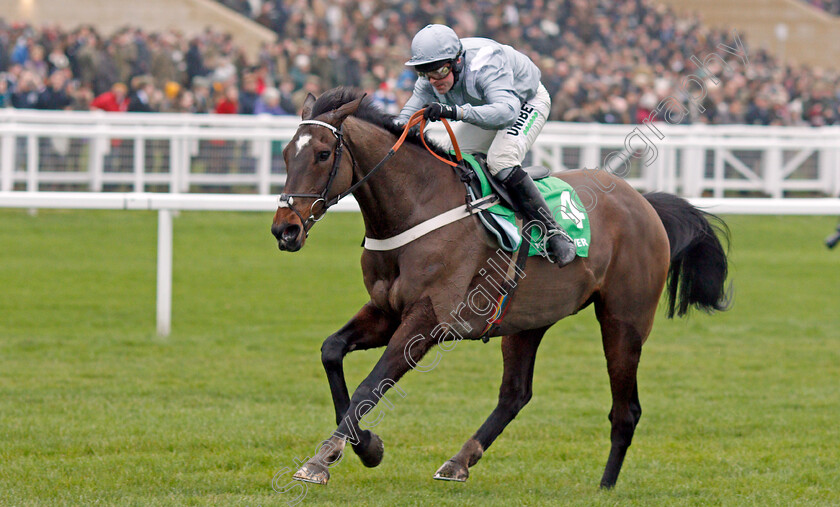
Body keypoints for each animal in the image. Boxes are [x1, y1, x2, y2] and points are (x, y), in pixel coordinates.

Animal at [270, 89, 728, 490]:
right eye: (286, 153)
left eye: (323, 154)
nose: (284, 230)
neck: (418, 207)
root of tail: (645, 203)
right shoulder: (385, 311)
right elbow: (332, 351)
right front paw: (366, 446)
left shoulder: (427, 321)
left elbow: (371, 385)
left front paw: (325, 458)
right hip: (527, 319)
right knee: (515, 394)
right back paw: (459, 460)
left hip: (624, 321)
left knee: (625, 410)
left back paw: (606, 485)